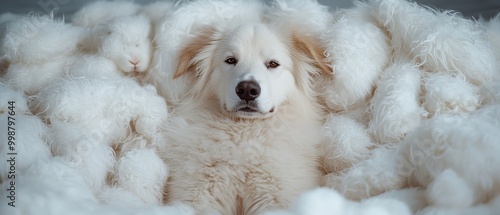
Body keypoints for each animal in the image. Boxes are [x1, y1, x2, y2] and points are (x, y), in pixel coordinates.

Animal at [159, 19, 332, 213]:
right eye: (230, 60)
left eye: (273, 64)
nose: (247, 89)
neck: (245, 136)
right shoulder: (199, 195)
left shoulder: (275, 197)